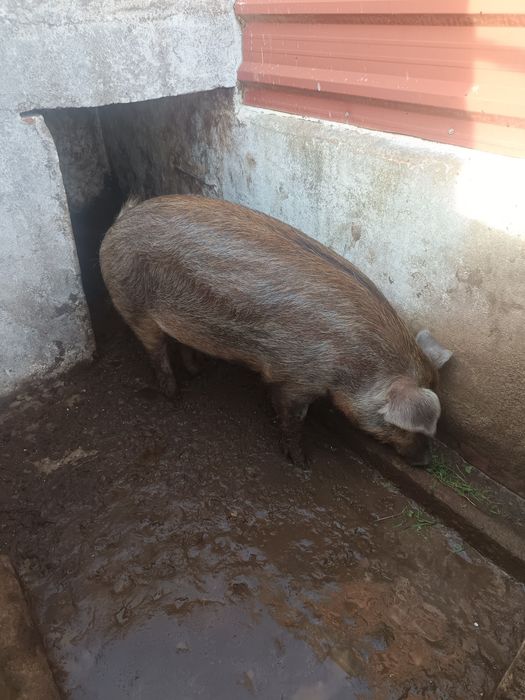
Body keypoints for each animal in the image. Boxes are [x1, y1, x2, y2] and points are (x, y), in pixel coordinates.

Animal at [100, 195, 452, 468]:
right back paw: (174, 395)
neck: (356, 363)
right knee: (155, 350)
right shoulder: (296, 378)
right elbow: (292, 417)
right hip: (131, 301)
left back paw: (199, 371)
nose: (425, 463)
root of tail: (119, 221)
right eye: (412, 428)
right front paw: (302, 462)